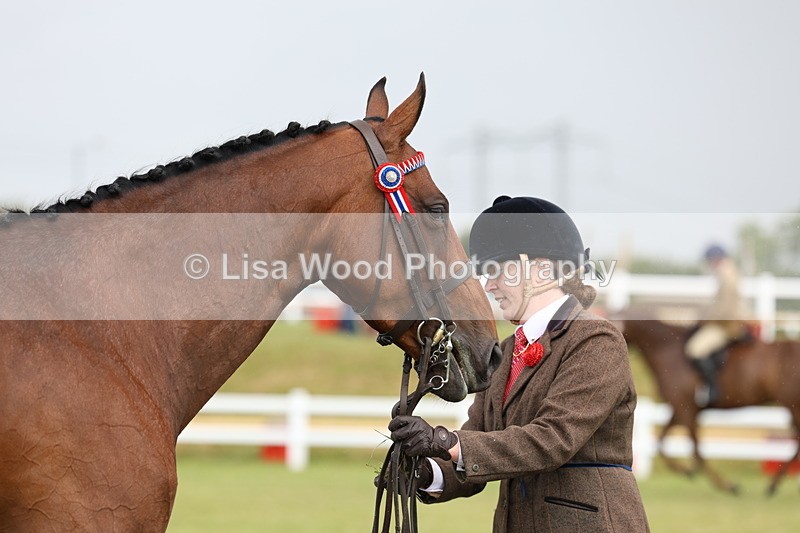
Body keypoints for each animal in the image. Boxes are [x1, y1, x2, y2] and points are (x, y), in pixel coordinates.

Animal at [617, 316, 800, 495]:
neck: (669, 351)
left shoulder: (685, 408)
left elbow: (696, 450)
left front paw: (726, 485)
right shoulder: (680, 408)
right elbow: (662, 444)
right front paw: (686, 470)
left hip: (792, 405)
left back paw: (772, 485)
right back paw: (773, 485)